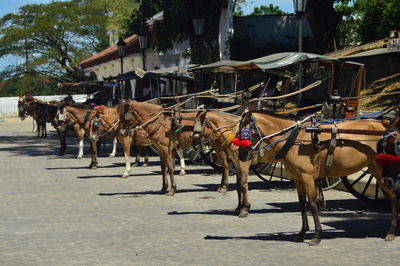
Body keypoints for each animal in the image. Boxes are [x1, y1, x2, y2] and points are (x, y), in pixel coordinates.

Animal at [233, 110, 398, 245]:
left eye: (244, 132)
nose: (241, 156)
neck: (296, 139)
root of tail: (384, 125)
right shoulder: (298, 179)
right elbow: (302, 205)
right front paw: (302, 233)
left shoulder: (307, 178)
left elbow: (312, 204)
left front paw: (316, 235)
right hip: (375, 170)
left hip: (382, 173)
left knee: (393, 198)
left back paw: (391, 231)